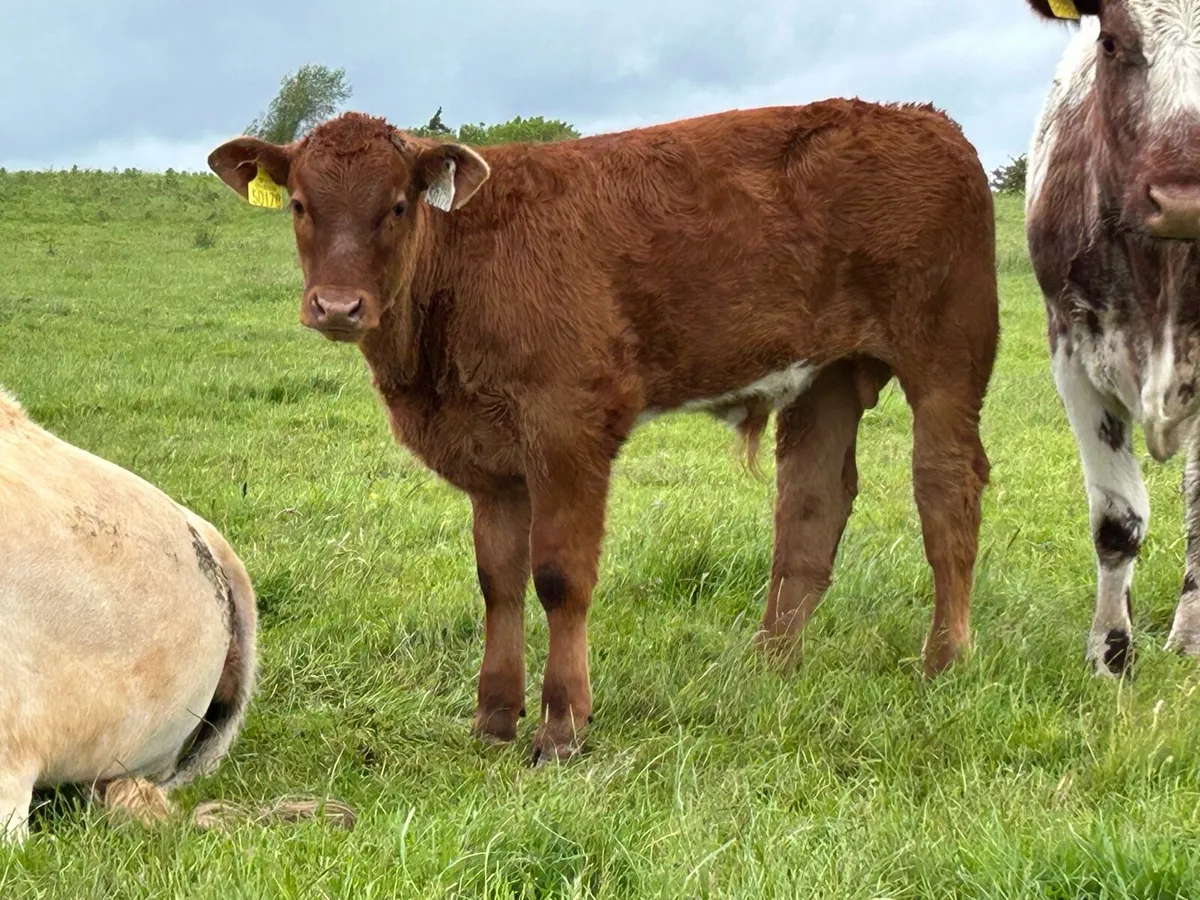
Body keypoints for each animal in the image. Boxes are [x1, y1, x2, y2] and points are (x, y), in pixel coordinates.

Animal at [209, 100, 1000, 763]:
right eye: (301, 205)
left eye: (398, 205)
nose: (338, 306)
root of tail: (929, 122)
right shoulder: (491, 461)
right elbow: (498, 581)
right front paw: (493, 717)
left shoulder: (569, 429)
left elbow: (560, 577)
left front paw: (562, 726)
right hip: (827, 375)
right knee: (811, 506)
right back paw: (770, 663)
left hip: (947, 360)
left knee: (946, 493)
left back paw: (947, 659)